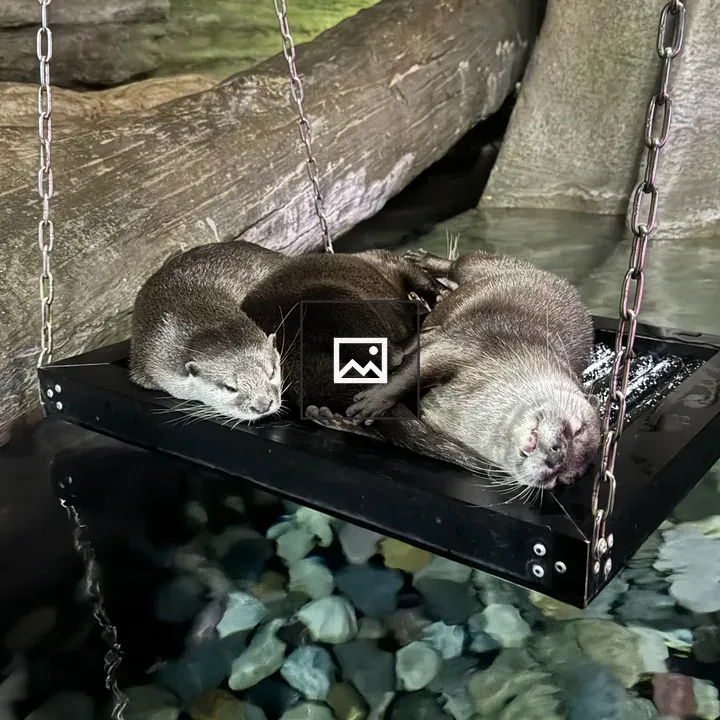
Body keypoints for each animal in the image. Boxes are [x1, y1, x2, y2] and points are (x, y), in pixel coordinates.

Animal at [308, 249, 602, 490]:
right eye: (577, 430)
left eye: (562, 479)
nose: (557, 456)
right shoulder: (471, 346)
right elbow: (418, 367)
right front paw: (373, 401)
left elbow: (407, 438)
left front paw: (336, 420)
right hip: (489, 264)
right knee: (462, 263)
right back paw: (425, 261)